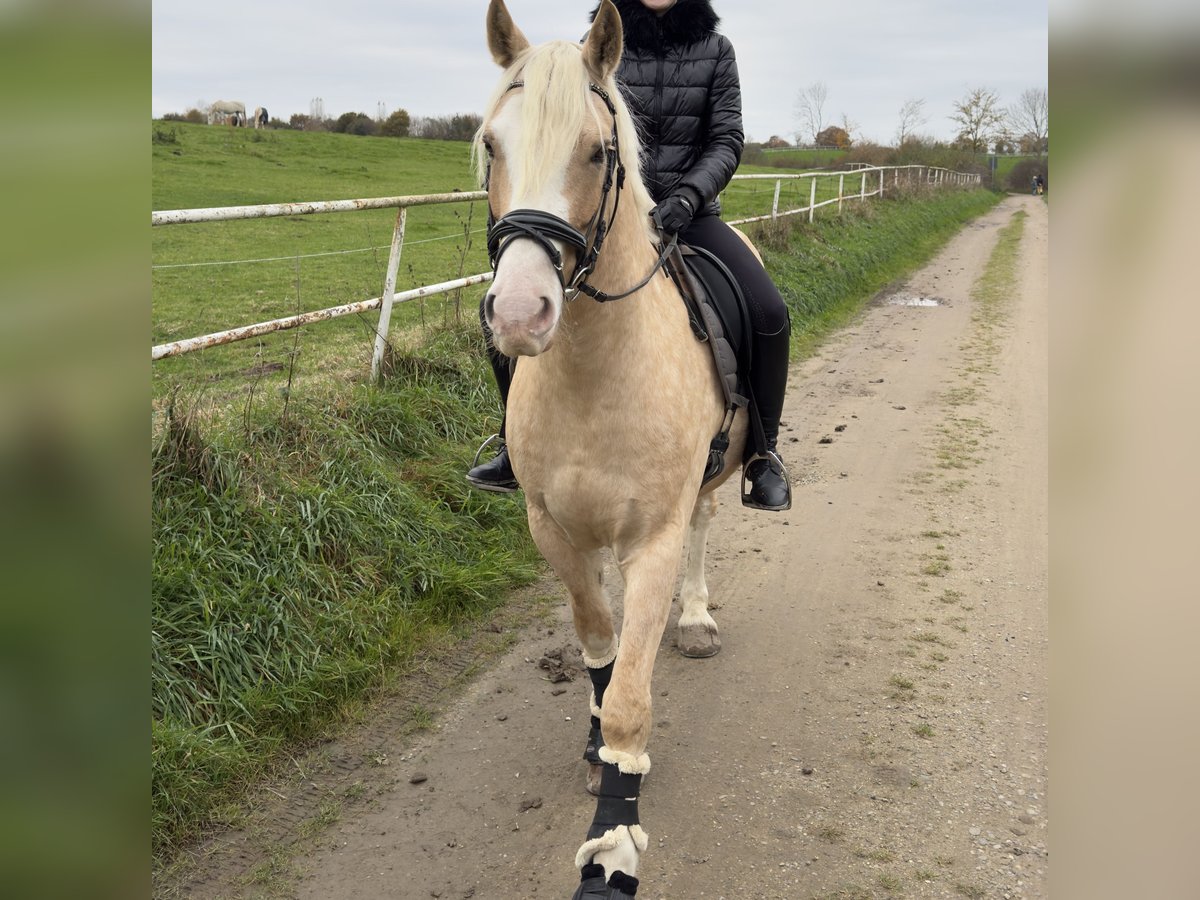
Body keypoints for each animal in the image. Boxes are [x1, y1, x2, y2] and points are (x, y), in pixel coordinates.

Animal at [475, 0, 748, 897]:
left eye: (598, 151)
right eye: (491, 144)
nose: (519, 313)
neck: (594, 371)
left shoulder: (653, 539)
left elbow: (631, 692)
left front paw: (613, 846)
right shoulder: (553, 527)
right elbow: (599, 643)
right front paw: (599, 748)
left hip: (716, 479)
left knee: (705, 524)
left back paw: (693, 618)